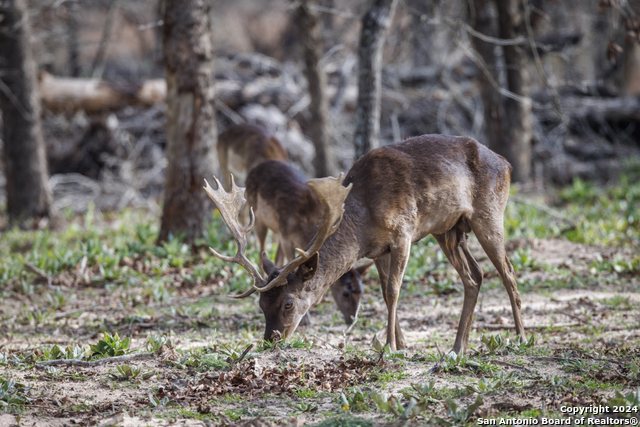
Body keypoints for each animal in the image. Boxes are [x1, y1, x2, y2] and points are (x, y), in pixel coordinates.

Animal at [245, 160, 376, 324]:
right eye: (345, 293)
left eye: (361, 291)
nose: (352, 319)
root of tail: (256, 167)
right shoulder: (285, 236)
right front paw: (305, 318)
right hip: (257, 217)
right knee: (261, 250)